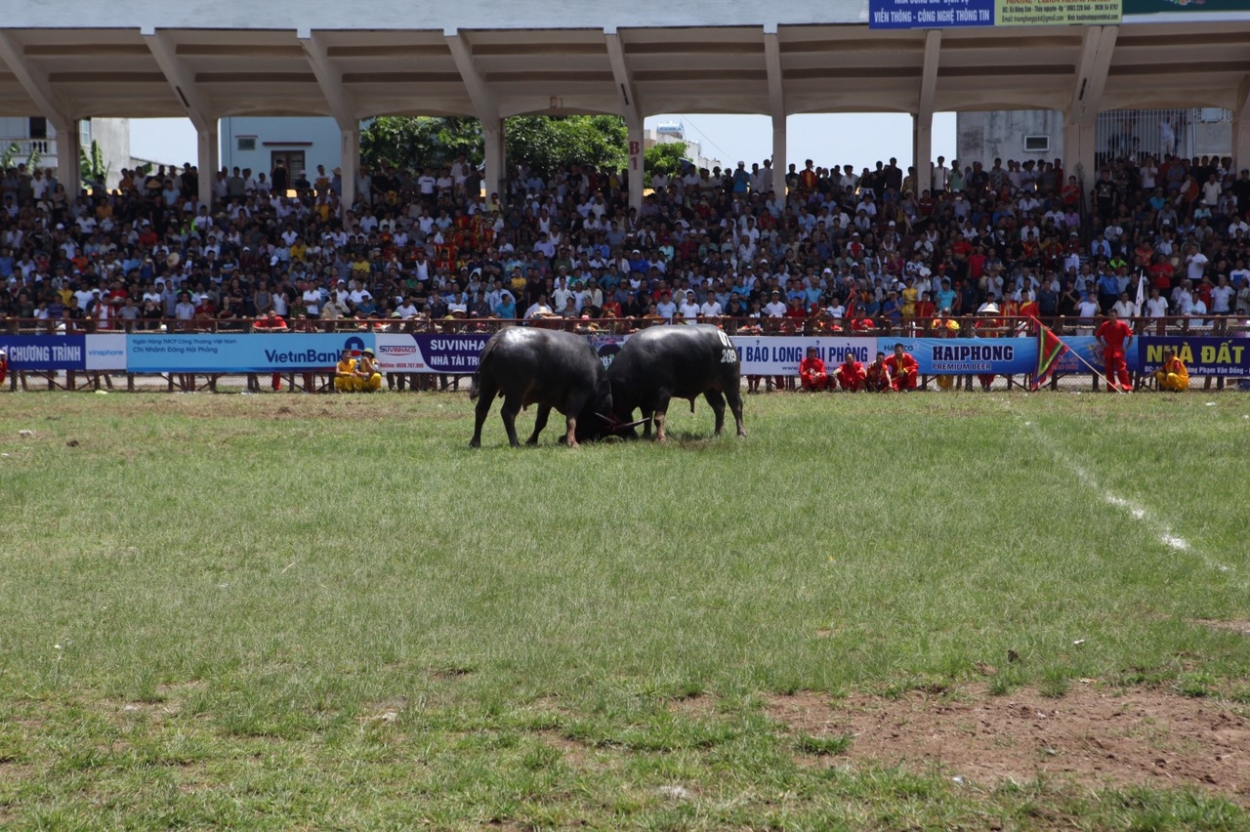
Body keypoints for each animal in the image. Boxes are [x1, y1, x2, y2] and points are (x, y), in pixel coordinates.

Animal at [467, 327, 612, 449]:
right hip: (516, 390)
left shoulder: (546, 400)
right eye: (601, 425)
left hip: (488, 384)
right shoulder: (579, 394)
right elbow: (571, 420)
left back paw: (475, 442)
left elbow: (540, 422)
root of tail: (499, 338)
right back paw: (515, 442)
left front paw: (532, 440)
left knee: (481, 410)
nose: (595, 439)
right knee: (508, 413)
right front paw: (572, 442)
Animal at [610, 322, 745, 439]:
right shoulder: (645, 400)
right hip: (710, 388)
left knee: (736, 406)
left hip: (731, 383)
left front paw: (661, 438)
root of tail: (725, 337)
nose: (632, 435)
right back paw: (717, 433)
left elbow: (658, 417)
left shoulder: (663, 393)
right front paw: (646, 435)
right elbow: (647, 418)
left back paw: (741, 434)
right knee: (719, 407)